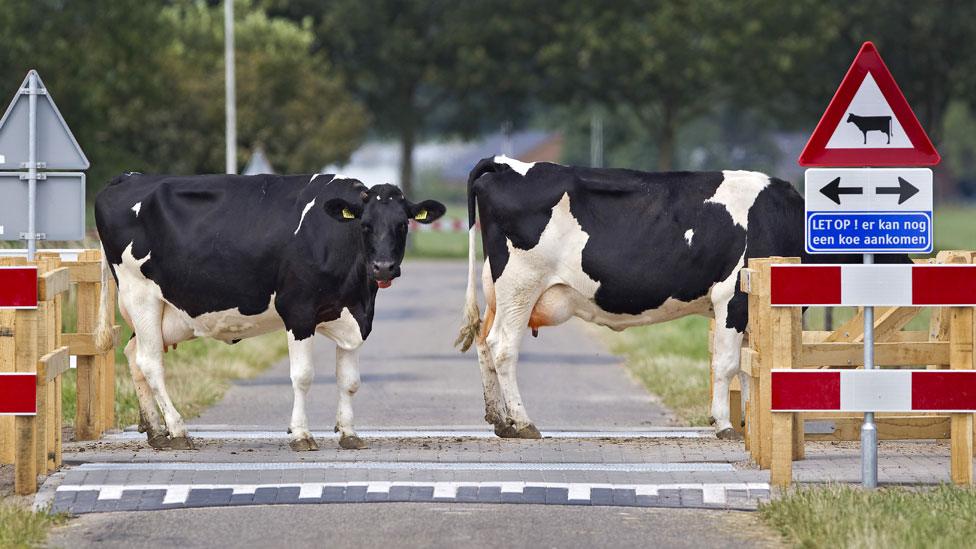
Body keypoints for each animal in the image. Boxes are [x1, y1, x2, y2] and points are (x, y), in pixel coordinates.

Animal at [93, 172, 444, 450]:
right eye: (366, 226)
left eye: (402, 225)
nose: (383, 267)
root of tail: (128, 177)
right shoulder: (299, 311)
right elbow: (303, 376)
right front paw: (301, 434)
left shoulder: (352, 316)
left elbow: (349, 380)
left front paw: (348, 433)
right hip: (140, 294)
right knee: (150, 361)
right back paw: (177, 431)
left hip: (170, 312)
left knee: (133, 354)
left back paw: (156, 432)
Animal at [458, 155, 908, 436]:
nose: (906, 262)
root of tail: (505, 164)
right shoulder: (732, 298)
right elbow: (727, 364)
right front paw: (725, 425)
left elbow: (750, 365)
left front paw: (749, 424)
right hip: (521, 284)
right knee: (502, 347)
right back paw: (522, 423)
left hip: (496, 289)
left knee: (482, 342)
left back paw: (499, 421)